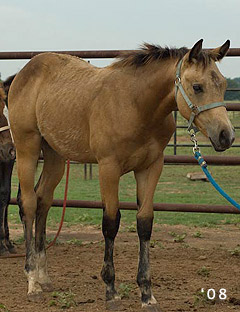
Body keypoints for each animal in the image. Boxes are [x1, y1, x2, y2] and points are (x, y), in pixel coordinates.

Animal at [7, 40, 234, 310]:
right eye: (197, 87)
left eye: (223, 85)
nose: (226, 136)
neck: (136, 105)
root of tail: (23, 73)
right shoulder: (108, 168)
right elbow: (110, 223)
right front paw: (111, 290)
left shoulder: (151, 168)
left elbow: (144, 223)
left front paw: (147, 293)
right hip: (27, 149)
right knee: (29, 204)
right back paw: (32, 280)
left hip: (55, 156)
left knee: (43, 201)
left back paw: (43, 276)